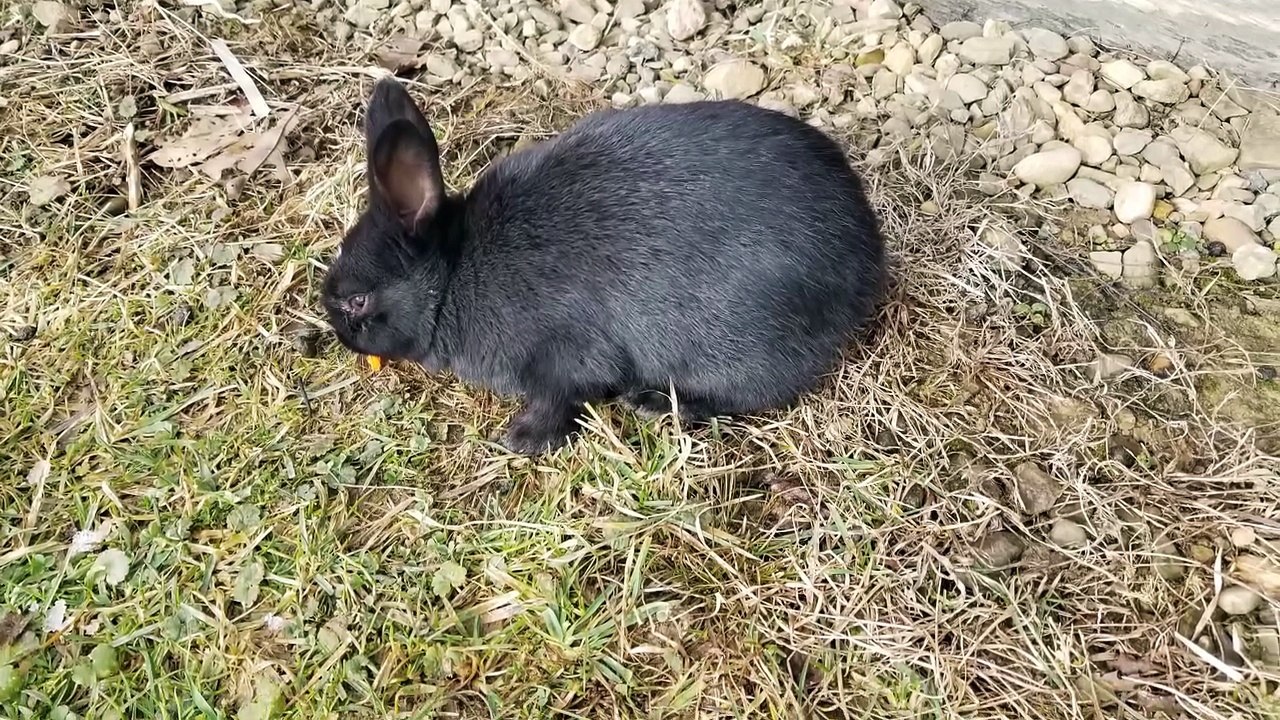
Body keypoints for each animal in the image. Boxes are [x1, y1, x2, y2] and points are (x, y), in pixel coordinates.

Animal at [322, 77, 886, 455]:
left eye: (358, 300)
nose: (340, 334)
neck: (453, 275)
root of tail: (865, 258)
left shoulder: (564, 359)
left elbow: (563, 396)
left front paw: (523, 439)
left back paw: (656, 403)